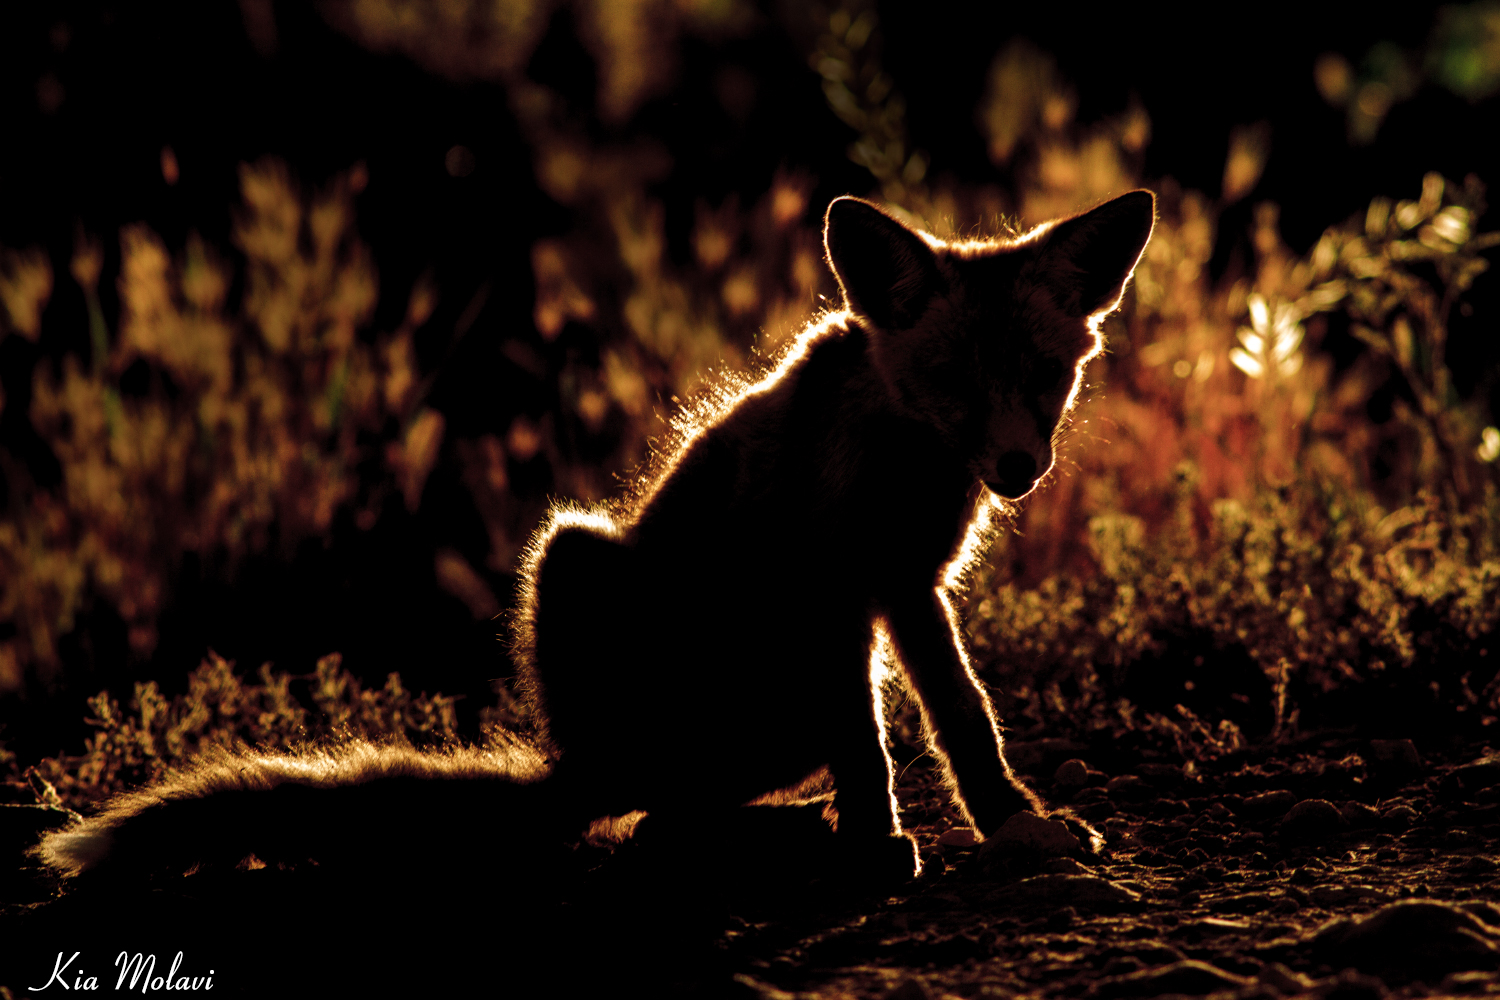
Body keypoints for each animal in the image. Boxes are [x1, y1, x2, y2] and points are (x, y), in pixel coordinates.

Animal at [36, 189, 1154, 885]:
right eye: (954, 380)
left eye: (1043, 377)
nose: (1016, 466)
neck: (902, 458)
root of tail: (572, 764)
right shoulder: (840, 589)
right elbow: (871, 747)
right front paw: (878, 848)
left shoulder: (906, 590)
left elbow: (965, 719)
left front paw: (1013, 823)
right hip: (573, 555)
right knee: (652, 825)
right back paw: (792, 837)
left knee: (671, 814)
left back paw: (784, 829)